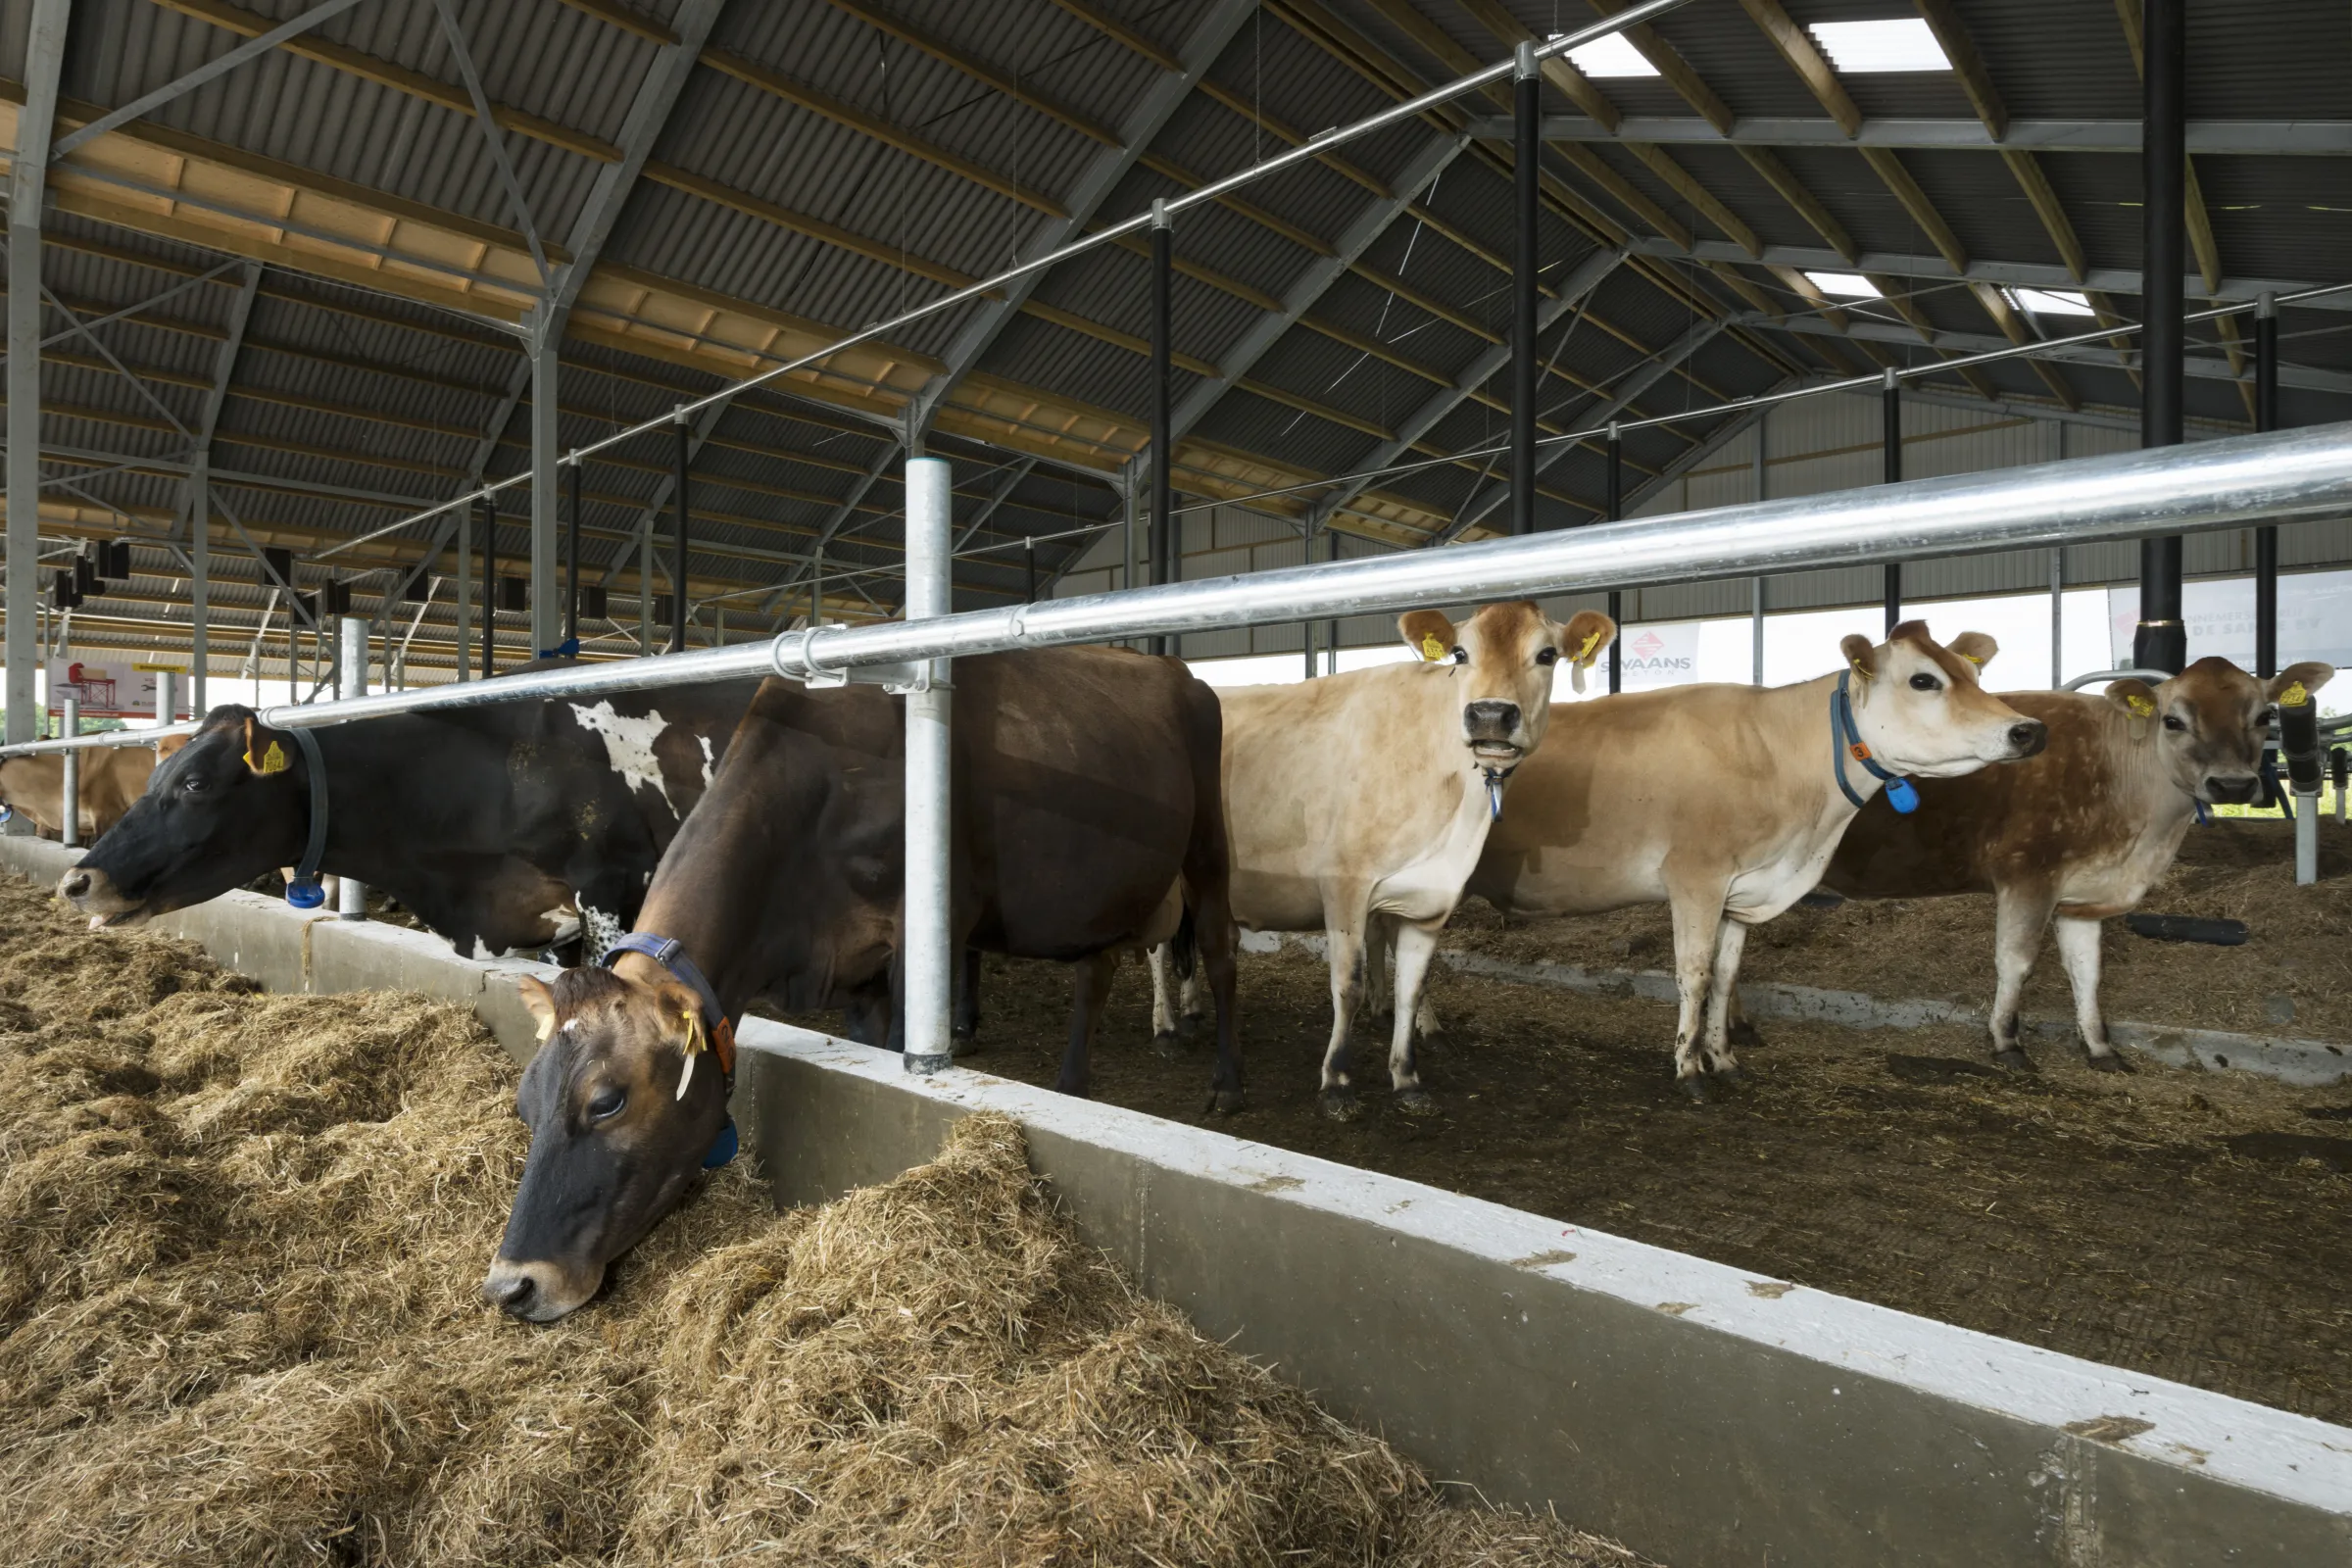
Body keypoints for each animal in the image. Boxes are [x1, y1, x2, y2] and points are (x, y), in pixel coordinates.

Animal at [480, 645, 1239, 1321]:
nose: (512, 1286)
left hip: (1209, 841)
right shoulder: (855, 973)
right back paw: (1073, 1082)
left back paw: (1223, 1086)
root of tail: (1177, 670)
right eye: (524, 1102)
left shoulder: (929, 932)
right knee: (1095, 970)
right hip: (1094, 896)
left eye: (606, 1101)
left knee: (1220, 946)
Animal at [1201, 601, 1616, 1122]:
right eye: (1460, 654)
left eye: (1546, 655)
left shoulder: (1432, 900)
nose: (1490, 714)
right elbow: (1349, 985)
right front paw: (1336, 1082)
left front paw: (1406, 1078)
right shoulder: (1344, 886)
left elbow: (1411, 989)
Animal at [1462, 623, 2045, 1097]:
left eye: (1972, 674)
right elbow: (1694, 974)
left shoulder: (1743, 890)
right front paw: (1688, 1070)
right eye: (1924, 681)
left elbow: (1725, 975)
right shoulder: (1696, 878)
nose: (2029, 729)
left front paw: (1724, 1059)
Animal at [1823, 654, 2332, 1070]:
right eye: (2173, 720)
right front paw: (2007, 1043)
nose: (2232, 785)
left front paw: (2100, 1048)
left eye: (2265, 716)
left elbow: (2088, 972)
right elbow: (2016, 962)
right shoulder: (2028, 874)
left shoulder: (2081, 895)